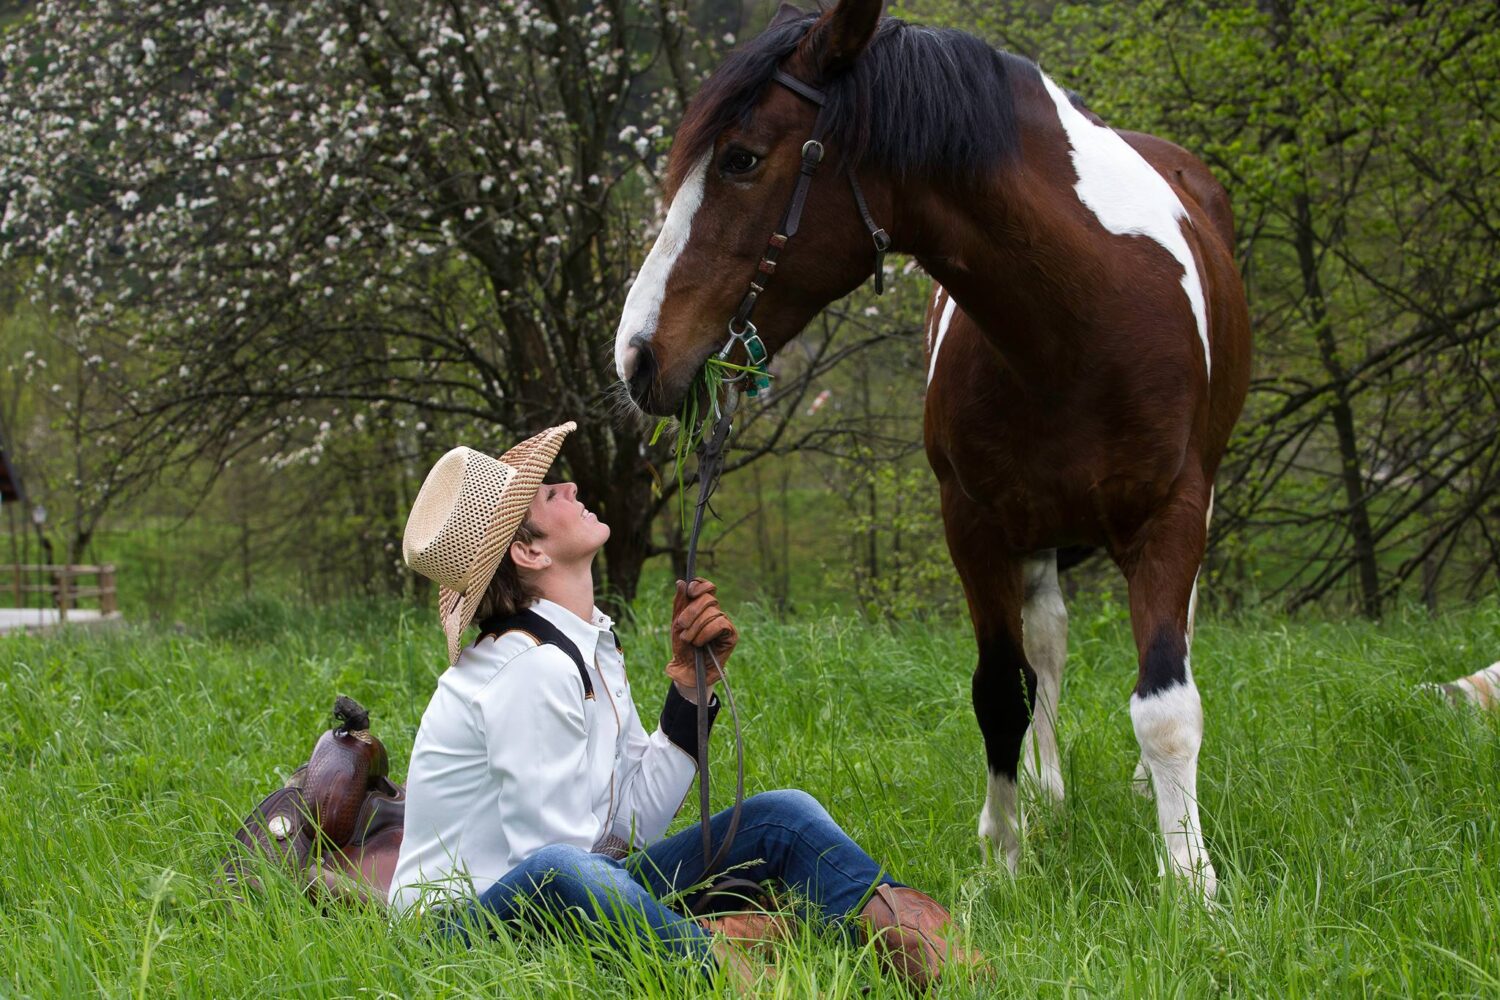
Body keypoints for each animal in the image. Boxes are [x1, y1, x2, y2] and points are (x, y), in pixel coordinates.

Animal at [612, 0, 1254, 899]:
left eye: (742, 159)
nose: (636, 356)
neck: (1082, 324)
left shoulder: (1171, 513)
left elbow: (1165, 706)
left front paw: (1189, 879)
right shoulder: (975, 524)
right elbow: (1000, 692)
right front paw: (1006, 860)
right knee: (1046, 641)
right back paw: (1049, 788)